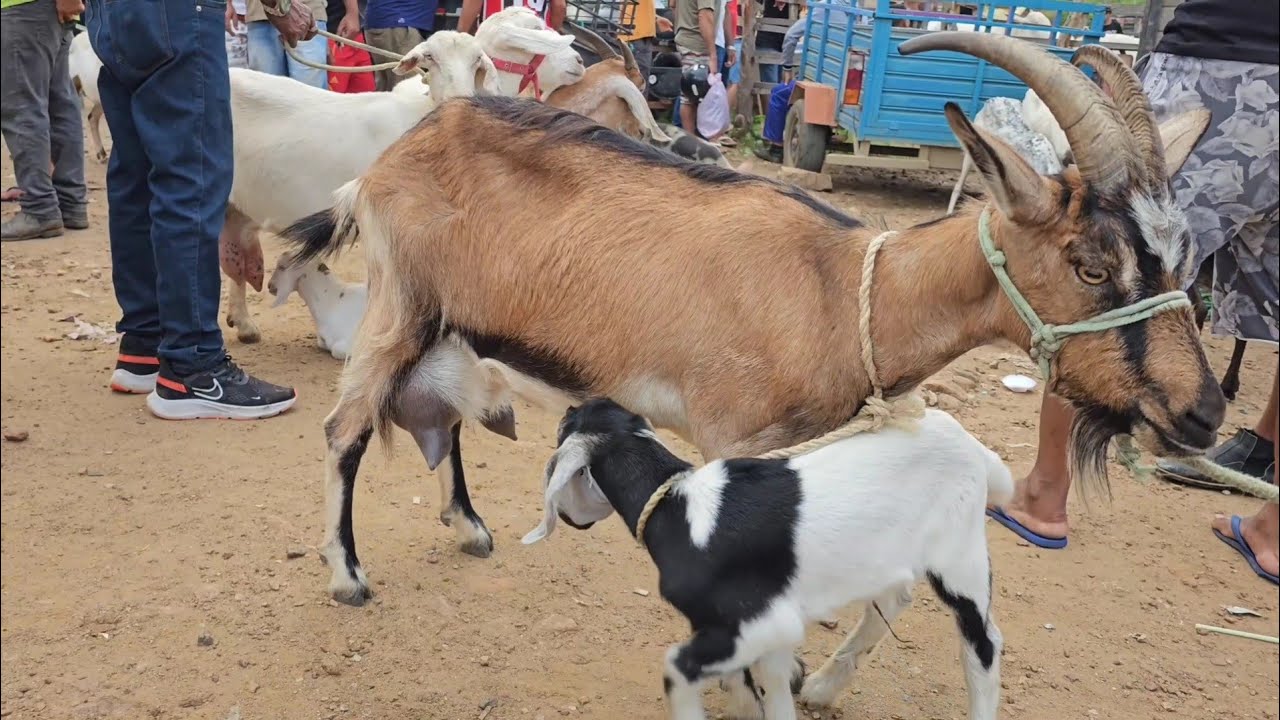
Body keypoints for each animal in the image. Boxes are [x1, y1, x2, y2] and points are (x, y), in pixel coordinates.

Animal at [281, 37, 1225, 630]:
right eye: (1092, 265)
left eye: (1182, 255)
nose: (1205, 412)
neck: (842, 289)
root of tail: (387, 163)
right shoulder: (731, 436)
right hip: (400, 303)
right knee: (343, 430)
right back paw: (348, 576)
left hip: (446, 321)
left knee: (438, 421)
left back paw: (470, 526)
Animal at [524, 399, 1010, 720]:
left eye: (564, 426)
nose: (571, 403)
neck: (679, 507)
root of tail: (976, 449)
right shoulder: (765, 628)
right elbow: (771, 691)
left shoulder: (756, 620)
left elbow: (678, 668)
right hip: (887, 551)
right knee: (894, 599)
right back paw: (823, 687)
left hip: (959, 555)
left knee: (984, 644)